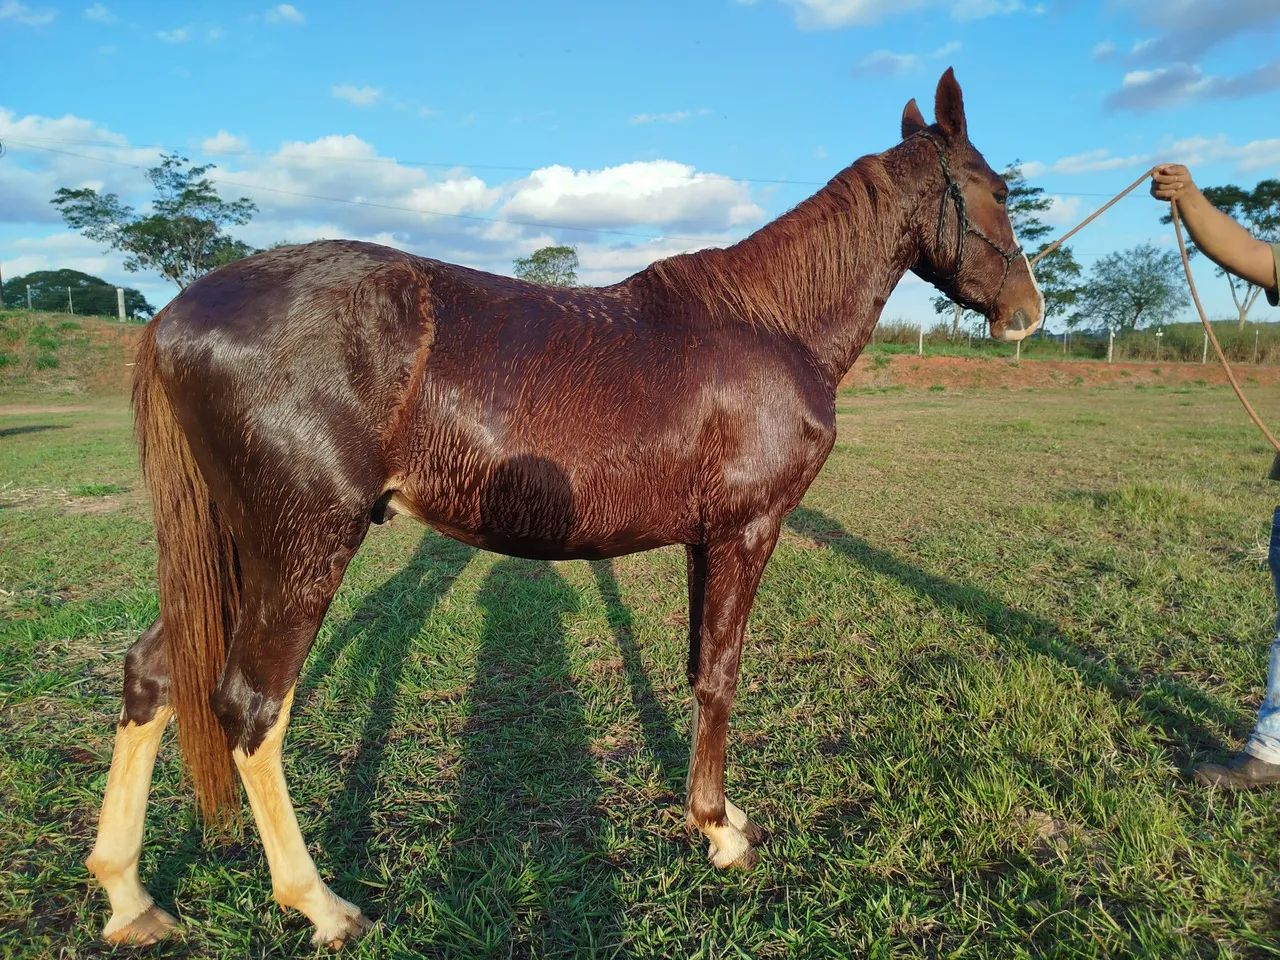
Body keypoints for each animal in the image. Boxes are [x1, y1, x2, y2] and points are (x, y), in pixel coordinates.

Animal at [86, 68, 1043, 949]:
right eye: (998, 190)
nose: (1028, 313)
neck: (771, 321)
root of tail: (174, 314)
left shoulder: (704, 540)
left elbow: (697, 669)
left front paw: (711, 815)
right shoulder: (747, 531)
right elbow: (722, 675)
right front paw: (720, 831)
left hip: (234, 550)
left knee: (155, 675)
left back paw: (130, 898)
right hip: (298, 548)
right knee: (251, 707)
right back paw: (320, 905)